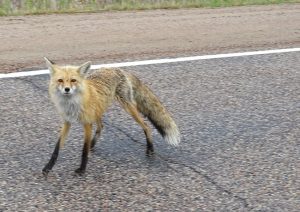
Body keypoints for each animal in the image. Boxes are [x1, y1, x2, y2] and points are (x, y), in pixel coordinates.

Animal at [42, 57, 180, 175]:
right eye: (60, 80)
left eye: (73, 80)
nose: (67, 89)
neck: (71, 105)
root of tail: (117, 69)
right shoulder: (67, 122)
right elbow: (56, 149)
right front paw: (48, 167)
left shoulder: (87, 124)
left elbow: (84, 150)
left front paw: (82, 169)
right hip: (99, 109)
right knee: (101, 126)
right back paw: (93, 145)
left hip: (128, 107)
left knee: (146, 126)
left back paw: (150, 149)